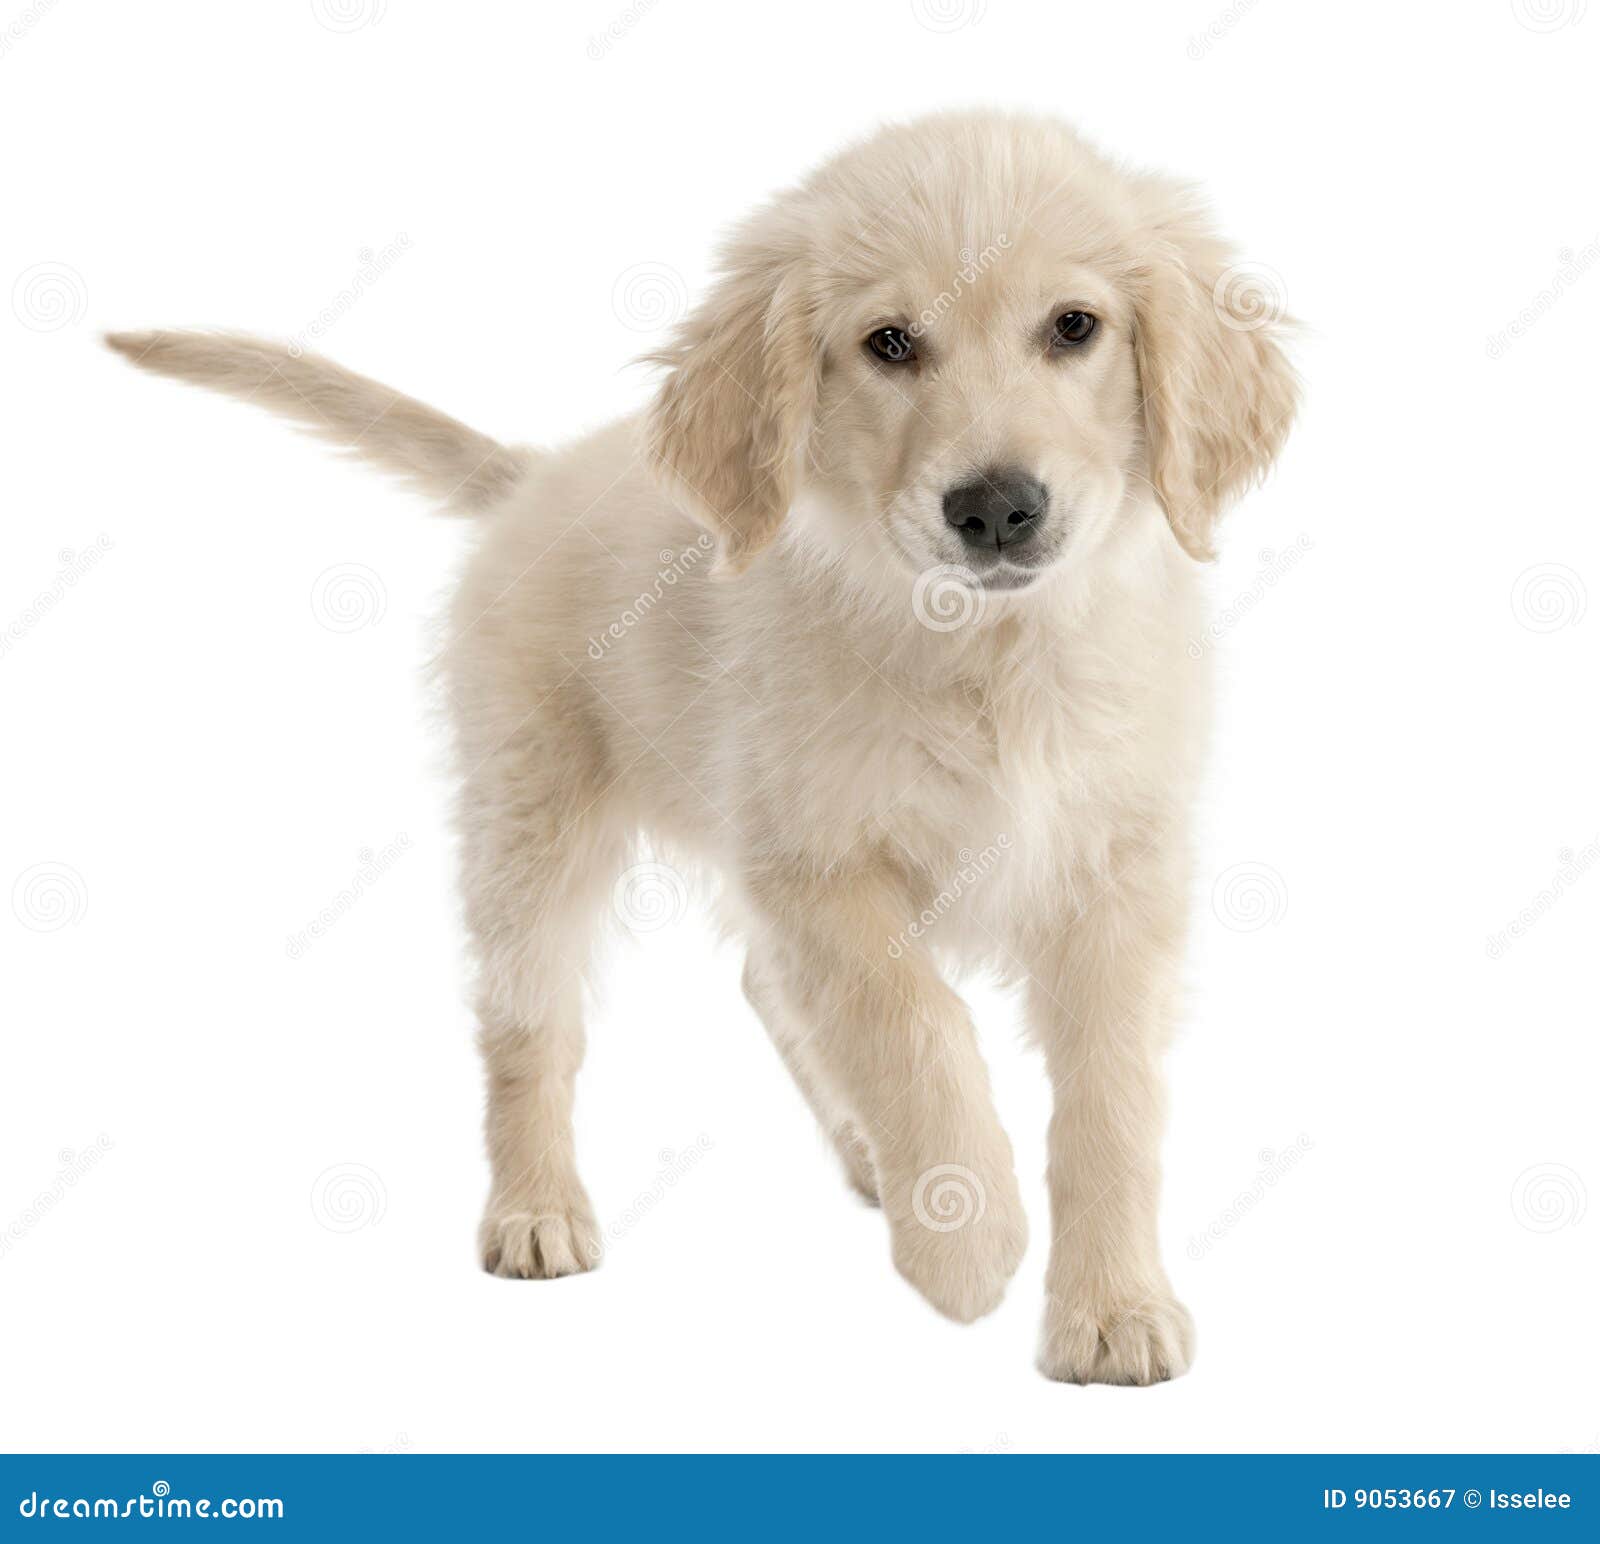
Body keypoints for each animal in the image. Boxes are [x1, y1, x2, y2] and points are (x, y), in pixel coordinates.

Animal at [103, 111, 1299, 1388]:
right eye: (888, 343)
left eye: (1074, 327)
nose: (995, 508)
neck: (989, 653)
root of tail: (531, 477)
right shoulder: (816, 860)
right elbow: (909, 1021)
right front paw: (966, 1235)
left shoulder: (1117, 877)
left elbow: (1110, 1108)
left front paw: (1111, 1308)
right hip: (533, 821)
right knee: (530, 1023)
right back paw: (537, 1207)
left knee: (763, 981)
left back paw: (867, 1156)